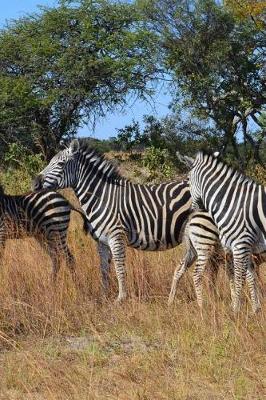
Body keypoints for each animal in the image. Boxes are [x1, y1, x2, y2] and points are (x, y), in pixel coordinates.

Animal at [33, 139, 192, 302]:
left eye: (60, 164)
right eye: (50, 162)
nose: (35, 184)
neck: (102, 198)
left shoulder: (117, 236)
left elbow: (119, 268)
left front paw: (121, 299)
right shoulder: (102, 242)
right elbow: (104, 269)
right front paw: (104, 296)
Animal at [188, 150, 264, 312]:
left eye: (188, 180)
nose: (197, 208)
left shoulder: (243, 248)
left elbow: (244, 278)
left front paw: (244, 309)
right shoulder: (242, 248)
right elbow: (245, 278)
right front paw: (243, 309)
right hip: (208, 251)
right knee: (201, 275)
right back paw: (203, 305)